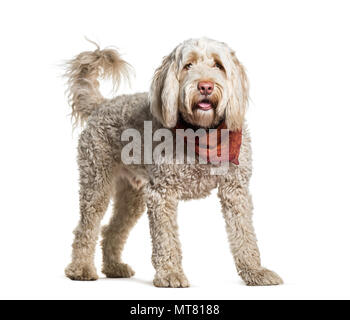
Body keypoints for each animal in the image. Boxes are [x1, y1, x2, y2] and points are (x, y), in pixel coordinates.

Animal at [64, 38, 284, 288]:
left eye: (218, 65)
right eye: (188, 65)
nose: (205, 86)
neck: (202, 132)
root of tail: (103, 104)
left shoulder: (235, 190)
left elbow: (245, 235)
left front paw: (255, 271)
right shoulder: (162, 194)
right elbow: (166, 239)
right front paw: (170, 274)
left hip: (133, 195)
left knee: (111, 229)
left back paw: (113, 267)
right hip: (96, 181)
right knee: (86, 228)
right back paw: (80, 269)